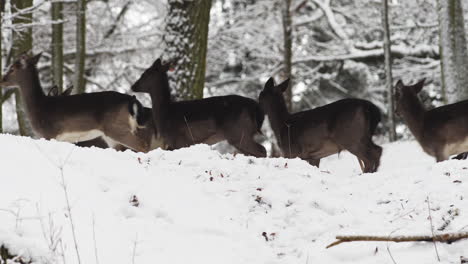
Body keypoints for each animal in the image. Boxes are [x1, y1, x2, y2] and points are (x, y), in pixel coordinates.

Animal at [0, 53, 150, 153]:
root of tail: (132, 100)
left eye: (12, 69)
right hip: (113, 135)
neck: (39, 107)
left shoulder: (49, 134)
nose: (1, 80)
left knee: (143, 146)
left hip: (116, 128)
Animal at [131, 58, 266, 157]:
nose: (133, 86)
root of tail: (256, 108)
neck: (166, 113)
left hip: (238, 131)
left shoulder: (180, 140)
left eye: (146, 73)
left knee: (262, 150)